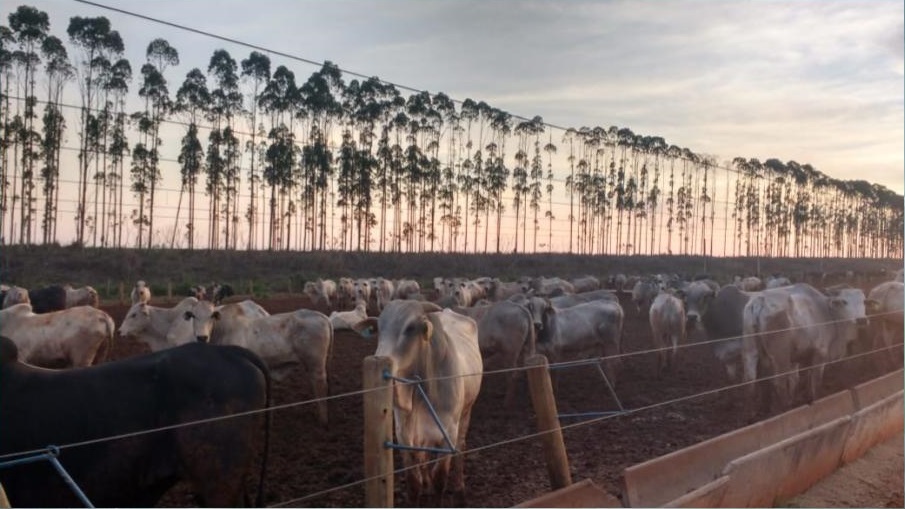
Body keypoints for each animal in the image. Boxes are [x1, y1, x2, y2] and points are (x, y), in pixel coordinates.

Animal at [180, 298, 332, 424]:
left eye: (211, 315)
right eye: (193, 315)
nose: (202, 337)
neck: (222, 330)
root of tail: (321, 316)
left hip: (315, 365)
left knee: (320, 388)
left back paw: (323, 420)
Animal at [356, 300, 480, 506]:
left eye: (410, 328)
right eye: (379, 328)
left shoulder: (448, 434)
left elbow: (440, 479)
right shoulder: (404, 435)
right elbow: (414, 483)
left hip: (466, 414)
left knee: (460, 449)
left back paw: (459, 490)